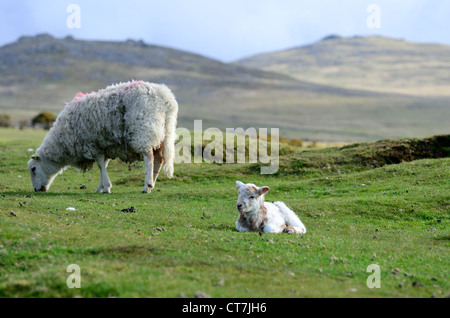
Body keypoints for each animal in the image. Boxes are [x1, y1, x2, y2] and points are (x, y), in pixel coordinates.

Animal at [26, 80, 179, 193]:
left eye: (33, 169)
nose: (37, 190)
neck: (63, 140)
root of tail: (167, 98)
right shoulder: (103, 145)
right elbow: (103, 165)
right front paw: (101, 187)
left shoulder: (93, 145)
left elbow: (100, 165)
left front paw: (106, 187)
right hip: (164, 132)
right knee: (159, 158)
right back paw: (152, 184)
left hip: (144, 130)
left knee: (149, 157)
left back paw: (146, 185)